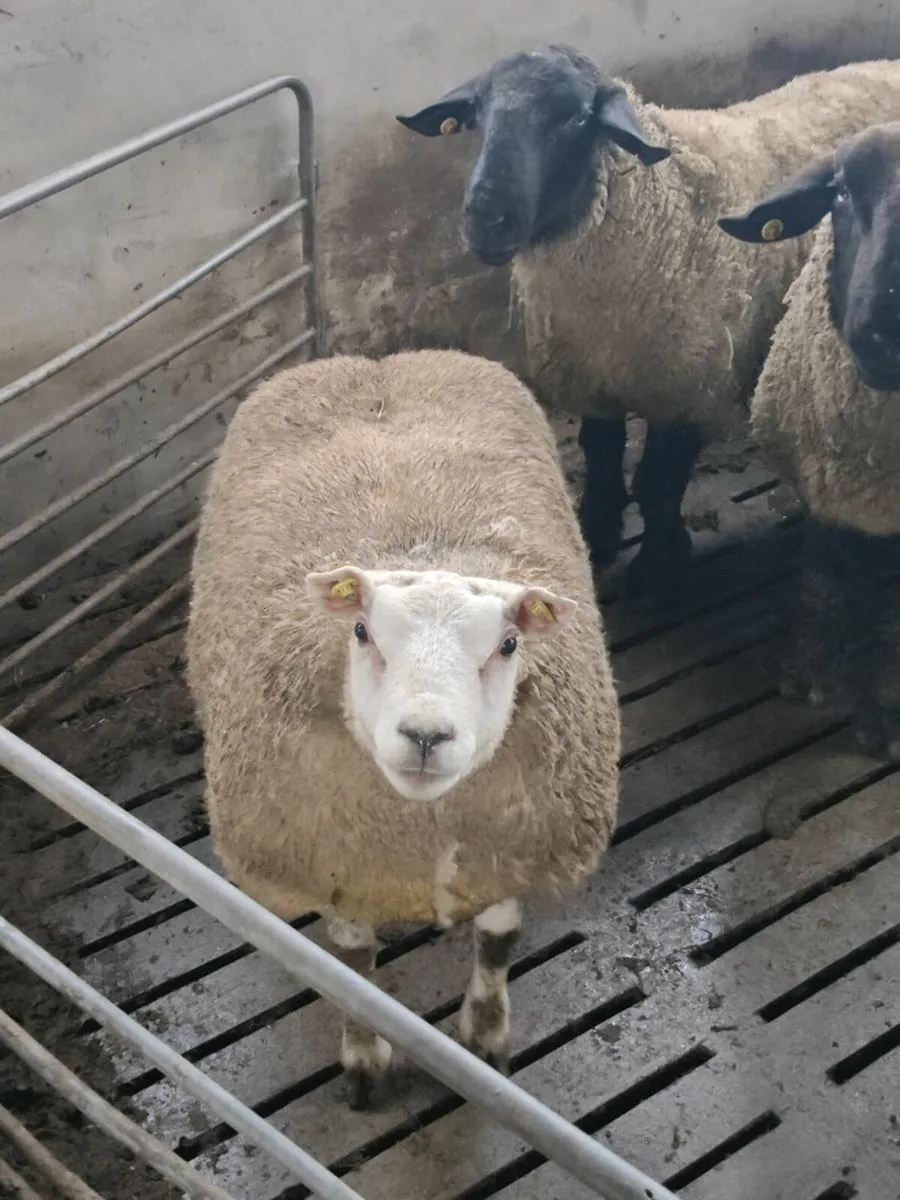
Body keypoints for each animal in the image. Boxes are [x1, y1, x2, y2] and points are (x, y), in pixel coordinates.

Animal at [185, 348, 620, 1108]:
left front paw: (484, 1037)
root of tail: (375, 363)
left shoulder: (509, 852)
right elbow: (353, 966)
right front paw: (365, 1058)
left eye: (509, 645)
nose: (425, 735)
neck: (419, 834)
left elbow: (497, 944)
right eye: (362, 631)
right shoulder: (337, 865)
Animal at [397, 46, 900, 610]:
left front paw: (658, 564)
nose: (486, 220)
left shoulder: (685, 390)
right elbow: (600, 456)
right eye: (479, 112)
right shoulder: (592, 378)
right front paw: (596, 533)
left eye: (575, 118)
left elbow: (657, 485)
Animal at [717, 120, 900, 757]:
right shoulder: (822, 482)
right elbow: (819, 575)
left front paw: (884, 706)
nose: (883, 331)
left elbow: (893, 614)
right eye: (840, 192)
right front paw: (808, 670)